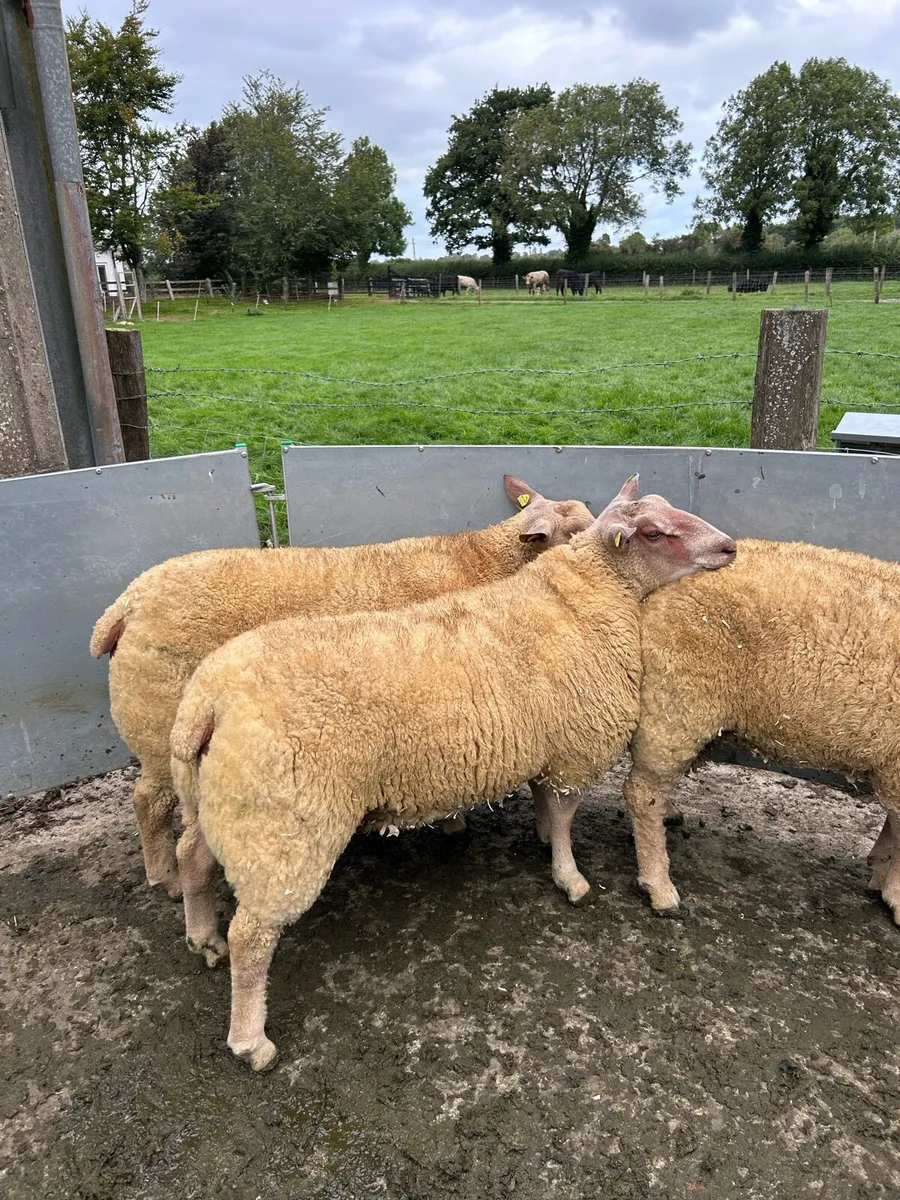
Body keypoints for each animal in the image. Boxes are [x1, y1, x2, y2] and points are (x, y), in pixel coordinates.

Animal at [89, 478, 594, 897]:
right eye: (574, 532)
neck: (481, 561)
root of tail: (125, 605)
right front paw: (459, 822)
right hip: (157, 722)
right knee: (149, 802)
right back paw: (167, 879)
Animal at [168, 477, 736, 1070]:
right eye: (653, 532)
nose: (729, 547)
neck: (592, 597)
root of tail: (208, 700)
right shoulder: (574, 748)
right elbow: (563, 817)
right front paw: (569, 877)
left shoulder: (548, 745)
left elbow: (544, 803)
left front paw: (542, 841)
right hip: (283, 826)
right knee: (253, 936)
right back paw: (250, 1039)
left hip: (221, 801)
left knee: (191, 858)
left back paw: (202, 937)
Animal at [623, 538, 900, 927]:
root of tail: (654, 589)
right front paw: (896, 894)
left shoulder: (891, 761)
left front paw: (879, 871)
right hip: (676, 705)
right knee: (642, 794)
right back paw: (659, 887)